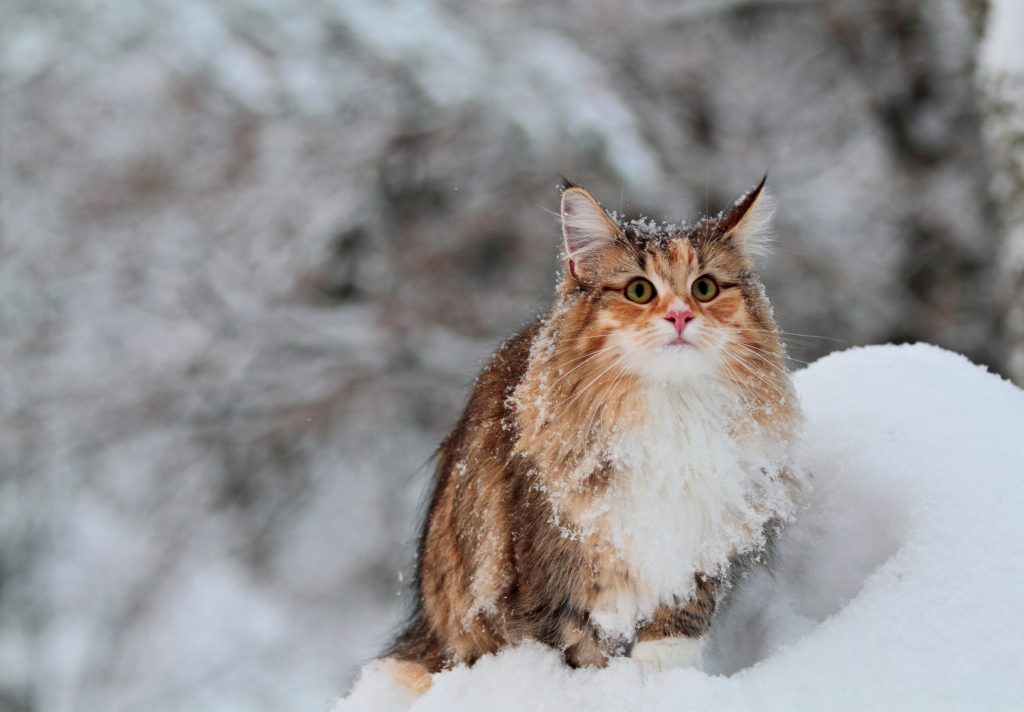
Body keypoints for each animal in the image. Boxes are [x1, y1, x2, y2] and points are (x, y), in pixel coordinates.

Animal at [372, 178, 802, 696]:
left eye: (704, 287)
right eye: (639, 290)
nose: (680, 317)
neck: (671, 415)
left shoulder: (697, 550)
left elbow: (674, 628)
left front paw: (667, 682)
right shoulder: (553, 575)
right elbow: (580, 651)